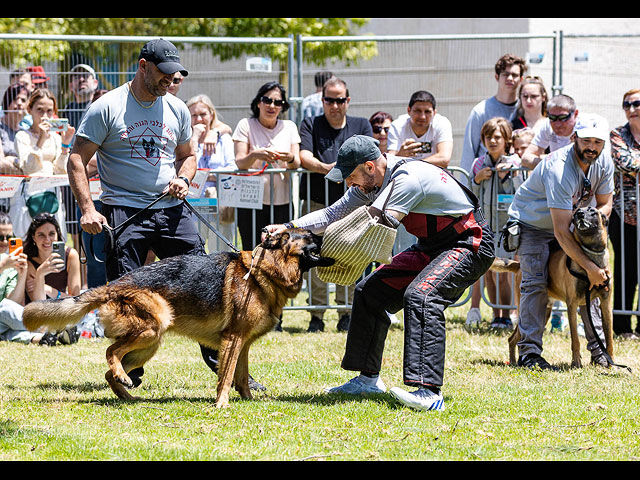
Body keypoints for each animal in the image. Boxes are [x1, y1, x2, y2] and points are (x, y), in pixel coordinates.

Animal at [23, 229, 336, 408]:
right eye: (310, 236)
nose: (328, 233)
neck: (266, 270)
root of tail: (114, 284)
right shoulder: (233, 339)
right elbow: (226, 377)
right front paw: (221, 404)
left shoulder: (243, 344)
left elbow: (242, 377)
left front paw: (248, 400)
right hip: (152, 328)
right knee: (110, 352)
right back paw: (124, 381)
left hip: (148, 345)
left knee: (109, 371)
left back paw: (127, 396)